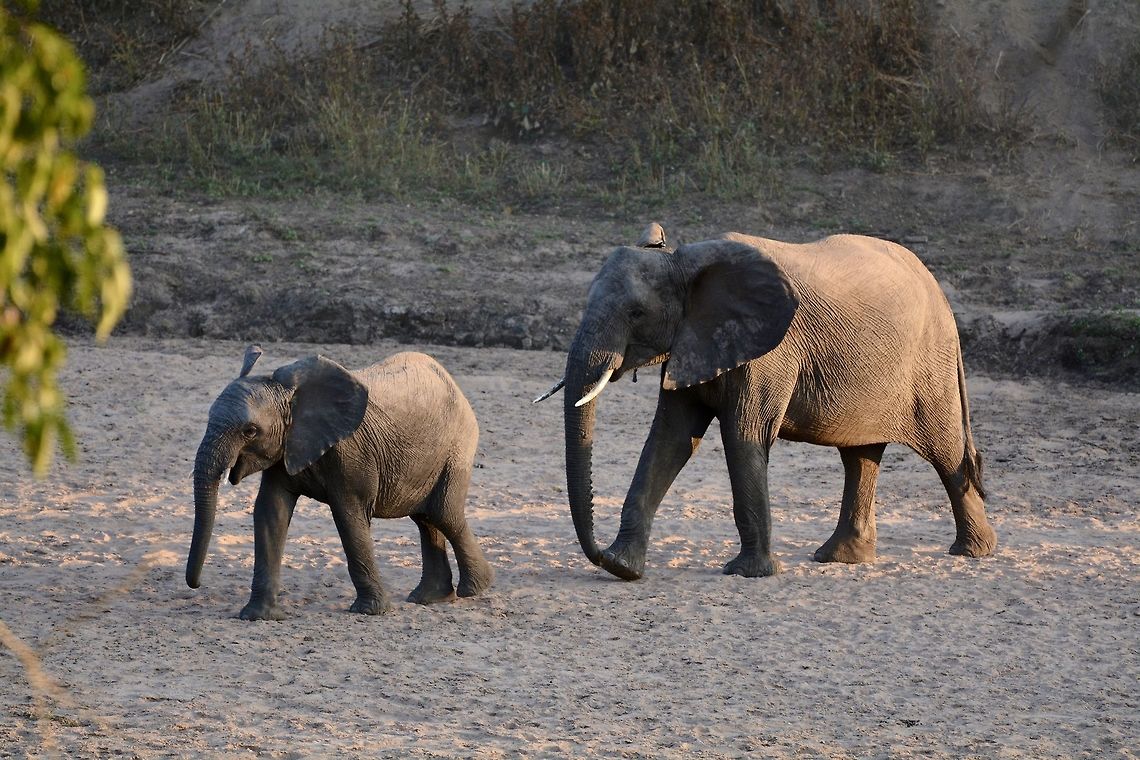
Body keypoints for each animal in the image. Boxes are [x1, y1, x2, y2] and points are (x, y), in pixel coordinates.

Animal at [187, 345, 493, 619]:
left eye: (250, 431)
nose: (196, 585)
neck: (292, 397)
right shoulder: (287, 446)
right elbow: (270, 513)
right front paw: (257, 616)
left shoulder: (351, 452)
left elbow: (348, 516)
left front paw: (370, 611)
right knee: (425, 518)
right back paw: (429, 598)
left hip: (457, 447)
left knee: (443, 513)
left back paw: (475, 589)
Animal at [538, 223, 996, 581]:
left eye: (635, 313)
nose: (597, 554)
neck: (683, 261)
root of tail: (940, 292)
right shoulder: (696, 340)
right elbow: (671, 438)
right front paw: (623, 567)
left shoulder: (767, 354)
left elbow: (744, 437)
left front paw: (748, 573)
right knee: (860, 455)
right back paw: (840, 558)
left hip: (930, 365)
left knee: (945, 452)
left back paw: (974, 551)